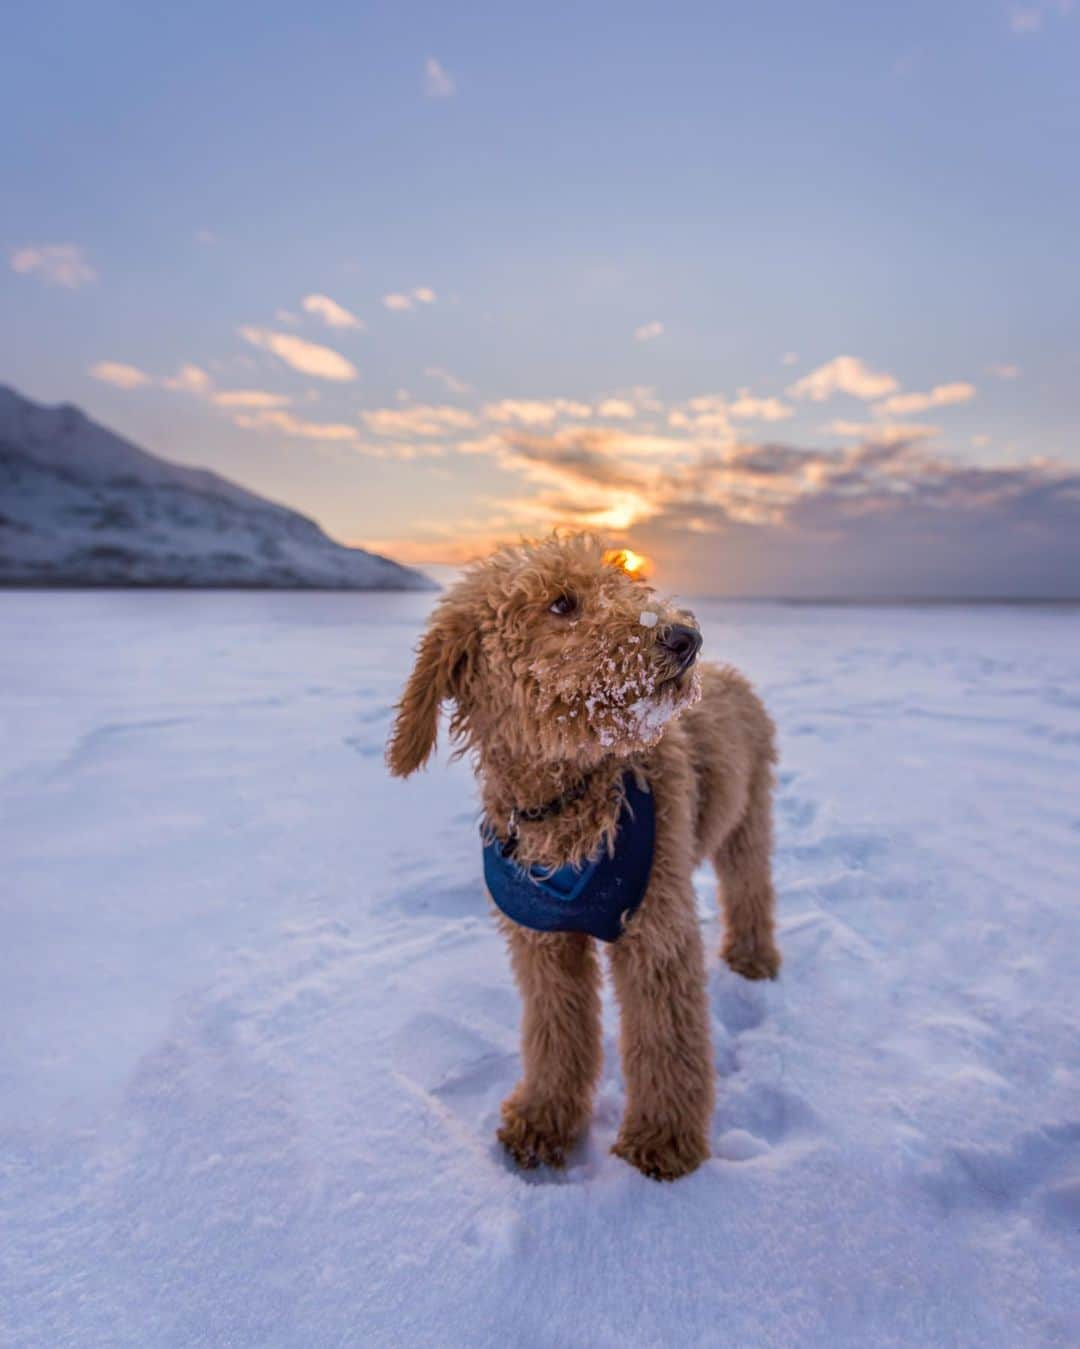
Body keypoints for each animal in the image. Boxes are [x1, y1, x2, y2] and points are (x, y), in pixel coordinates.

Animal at [385, 531, 776, 1176]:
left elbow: (667, 1039)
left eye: (625, 583)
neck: (570, 797)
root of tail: (732, 674)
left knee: (752, 888)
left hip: (750, 818)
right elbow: (555, 1033)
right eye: (562, 603)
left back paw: (753, 957)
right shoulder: (542, 941)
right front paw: (543, 1121)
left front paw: (662, 1141)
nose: (685, 638)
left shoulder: (656, 926)